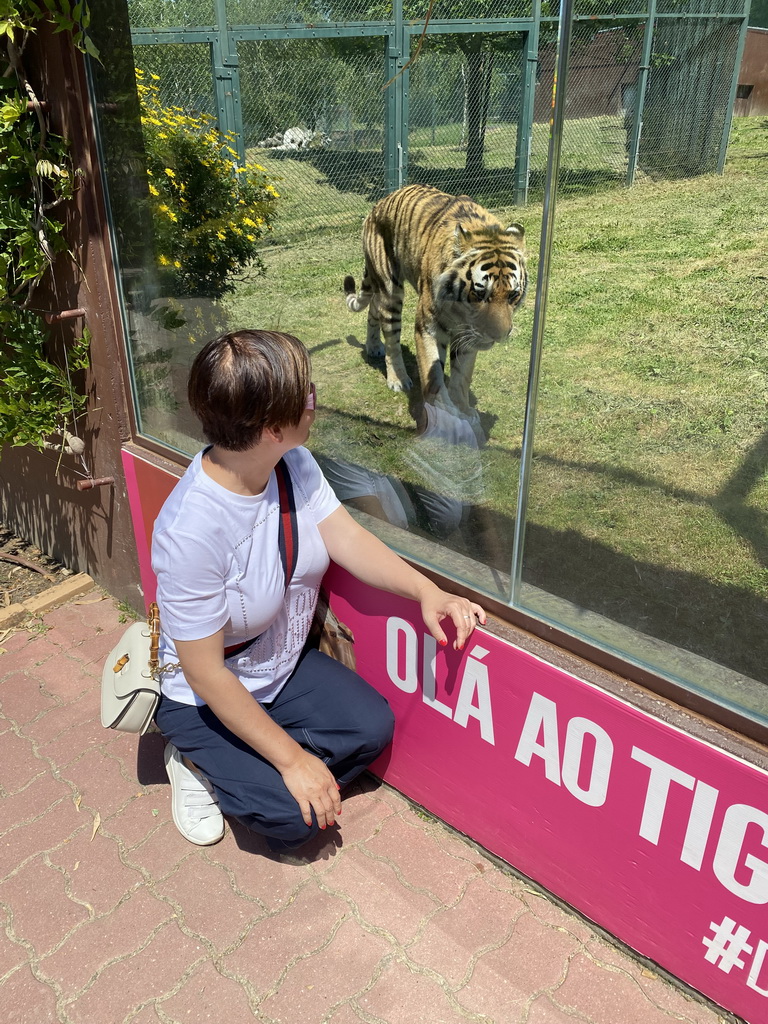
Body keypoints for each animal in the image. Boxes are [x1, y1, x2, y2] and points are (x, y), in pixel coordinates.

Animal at [344, 184, 528, 423]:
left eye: (513, 295)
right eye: (480, 294)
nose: (499, 336)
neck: (460, 309)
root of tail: (378, 205)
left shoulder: (466, 334)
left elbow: (461, 377)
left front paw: (464, 410)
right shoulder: (428, 328)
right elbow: (433, 375)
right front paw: (443, 414)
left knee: (374, 310)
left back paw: (374, 347)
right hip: (390, 288)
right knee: (392, 338)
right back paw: (397, 379)